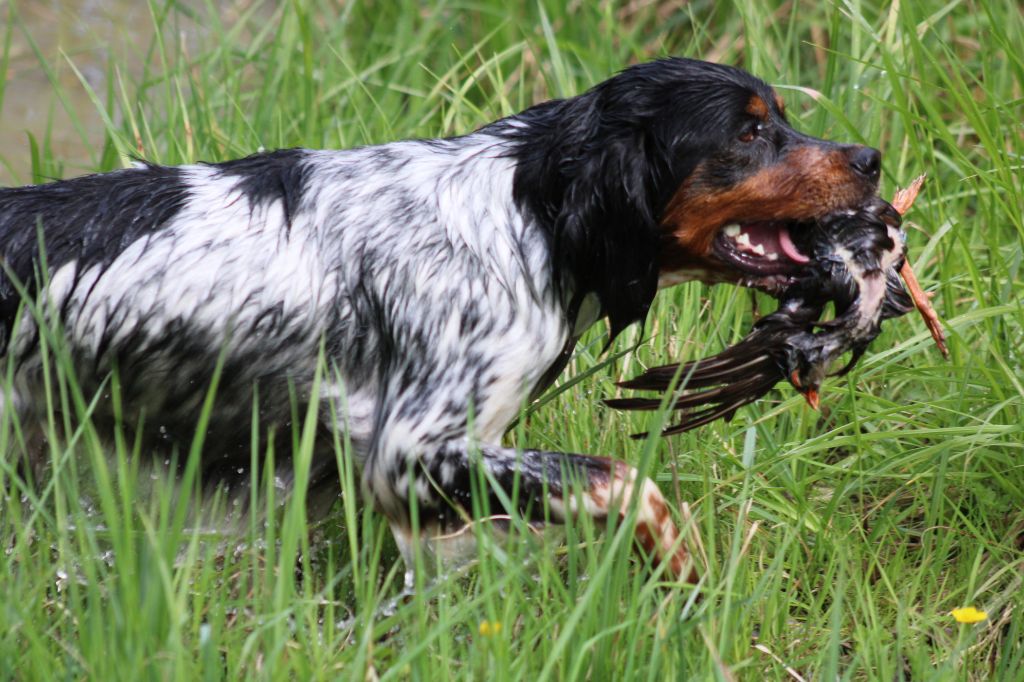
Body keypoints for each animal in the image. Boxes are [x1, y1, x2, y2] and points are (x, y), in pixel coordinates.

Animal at [0, 59, 880, 577]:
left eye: (777, 118)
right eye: (750, 130)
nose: (871, 159)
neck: (530, 217)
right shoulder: (410, 453)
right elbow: (627, 481)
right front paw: (686, 572)